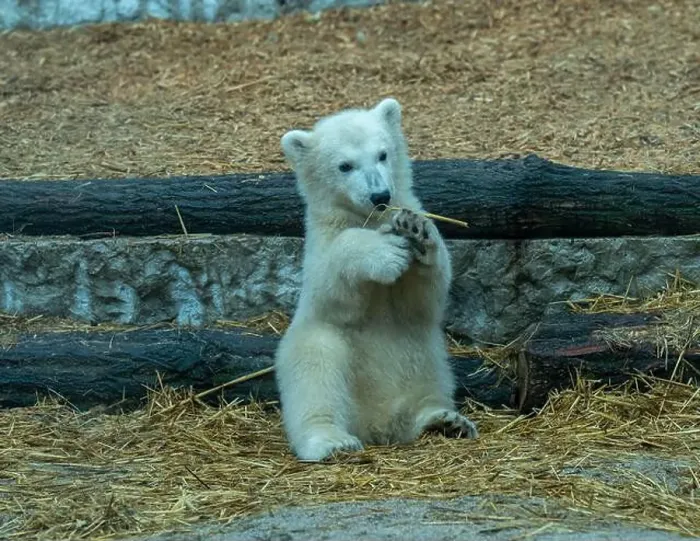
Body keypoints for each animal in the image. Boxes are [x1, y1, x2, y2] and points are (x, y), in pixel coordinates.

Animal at [274, 97, 478, 462]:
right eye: (344, 166)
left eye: (383, 154)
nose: (380, 195)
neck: (370, 219)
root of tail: (377, 424)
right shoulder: (319, 252)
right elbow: (335, 288)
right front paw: (384, 253)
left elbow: (426, 294)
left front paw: (416, 231)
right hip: (317, 351)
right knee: (317, 370)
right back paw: (332, 441)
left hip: (426, 356)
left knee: (430, 384)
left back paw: (443, 420)